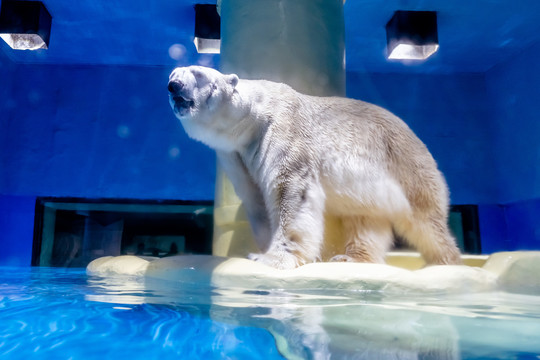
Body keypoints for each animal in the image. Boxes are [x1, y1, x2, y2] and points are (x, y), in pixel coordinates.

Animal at [168, 66, 460, 268]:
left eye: (198, 73)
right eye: (172, 73)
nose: (173, 85)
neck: (251, 119)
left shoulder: (282, 131)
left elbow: (290, 190)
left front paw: (271, 259)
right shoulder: (234, 155)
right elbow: (256, 201)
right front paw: (260, 249)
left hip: (404, 165)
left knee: (425, 221)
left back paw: (446, 262)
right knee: (366, 219)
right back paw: (351, 258)